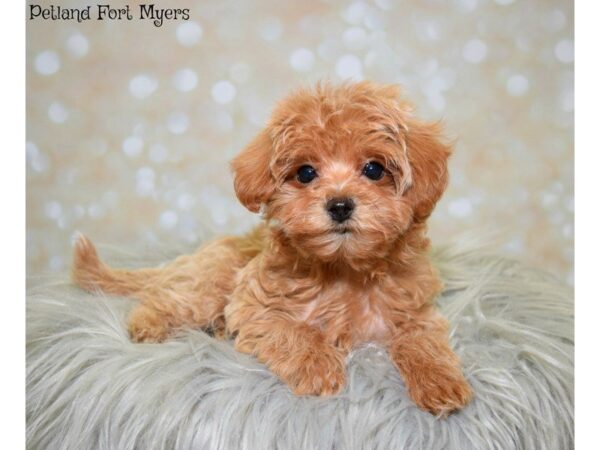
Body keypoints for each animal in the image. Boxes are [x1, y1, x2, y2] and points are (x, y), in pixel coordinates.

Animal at [71, 81, 474, 414]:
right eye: (306, 173)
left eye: (374, 169)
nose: (340, 204)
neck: (343, 269)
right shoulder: (253, 306)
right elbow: (292, 331)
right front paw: (317, 366)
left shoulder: (415, 310)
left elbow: (423, 341)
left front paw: (440, 382)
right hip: (210, 285)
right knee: (165, 299)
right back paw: (149, 324)